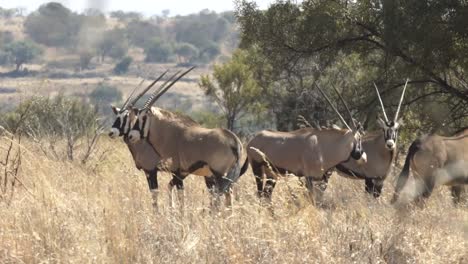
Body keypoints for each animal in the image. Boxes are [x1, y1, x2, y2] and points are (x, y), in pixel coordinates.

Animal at [126, 67, 247, 207]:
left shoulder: (177, 172)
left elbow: (180, 196)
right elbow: (171, 188)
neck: (168, 132)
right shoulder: (182, 173)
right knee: (228, 195)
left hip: (219, 174)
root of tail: (234, 141)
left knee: (221, 196)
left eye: (143, 117)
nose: (130, 135)